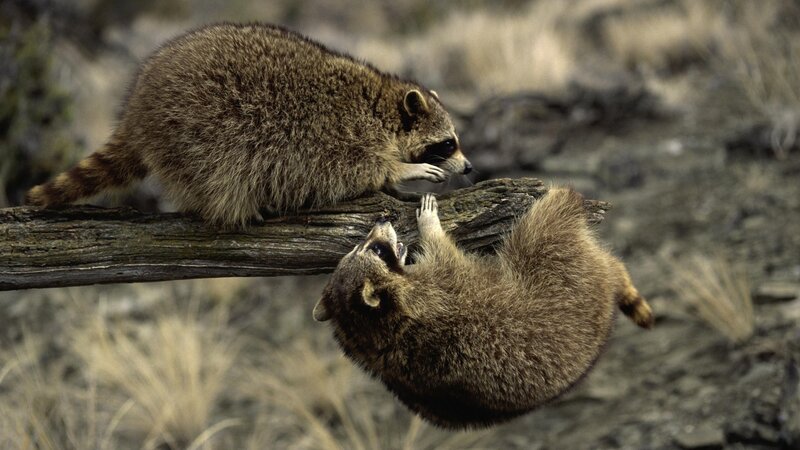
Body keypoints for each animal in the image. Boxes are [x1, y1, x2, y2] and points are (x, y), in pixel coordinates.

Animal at [25, 23, 471, 227]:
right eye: (448, 144)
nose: (468, 167)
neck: (382, 106)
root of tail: (138, 110)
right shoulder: (337, 136)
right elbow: (353, 169)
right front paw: (402, 169)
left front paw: (397, 184)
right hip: (196, 130)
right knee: (218, 172)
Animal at [313, 188, 653, 428]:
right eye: (376, 249)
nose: (382, 221)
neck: (368, 331)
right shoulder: (439, 288)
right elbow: (444, 252)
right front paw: (430, 226)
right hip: (565, 276)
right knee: (542, 231)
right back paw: (561, 200)